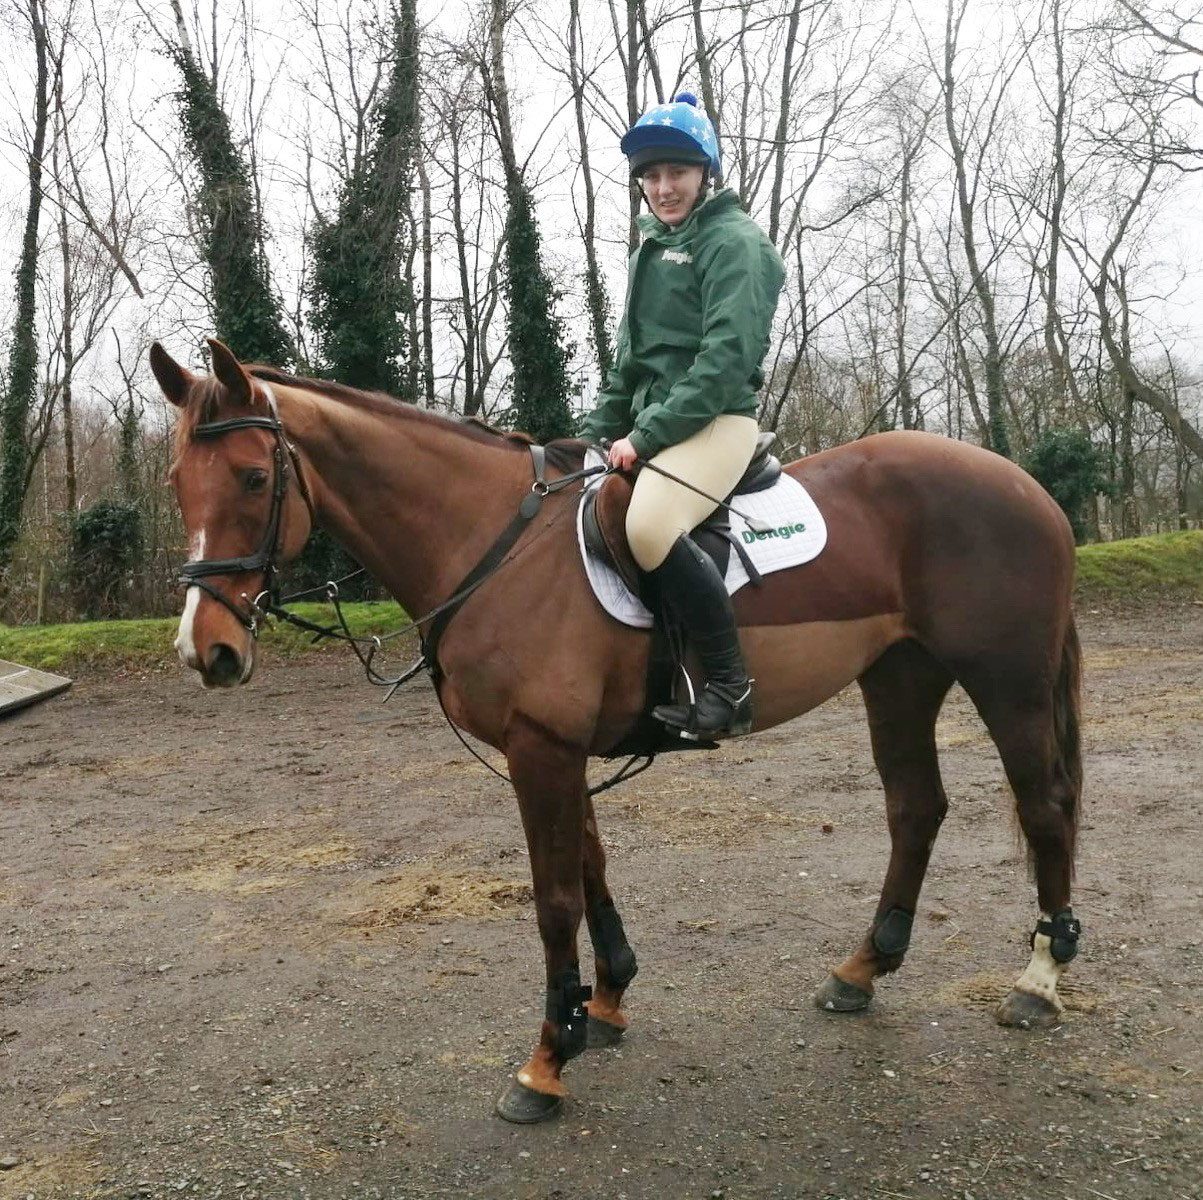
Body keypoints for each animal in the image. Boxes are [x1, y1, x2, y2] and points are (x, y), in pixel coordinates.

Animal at [150, 336, 1082, 1125]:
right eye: (175, 483)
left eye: (252, 480)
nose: (207, 652)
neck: (489, 544)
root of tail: (1021, 482)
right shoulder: (554, 750)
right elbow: (591, 868)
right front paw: (600, 1005)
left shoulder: (543, 748)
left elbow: (554, 898)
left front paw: (543, 1065)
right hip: (899, 676)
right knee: (914, 808)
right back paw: (861, 970)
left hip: (1005, 681)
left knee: (1043, 809)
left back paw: (1037, 981)